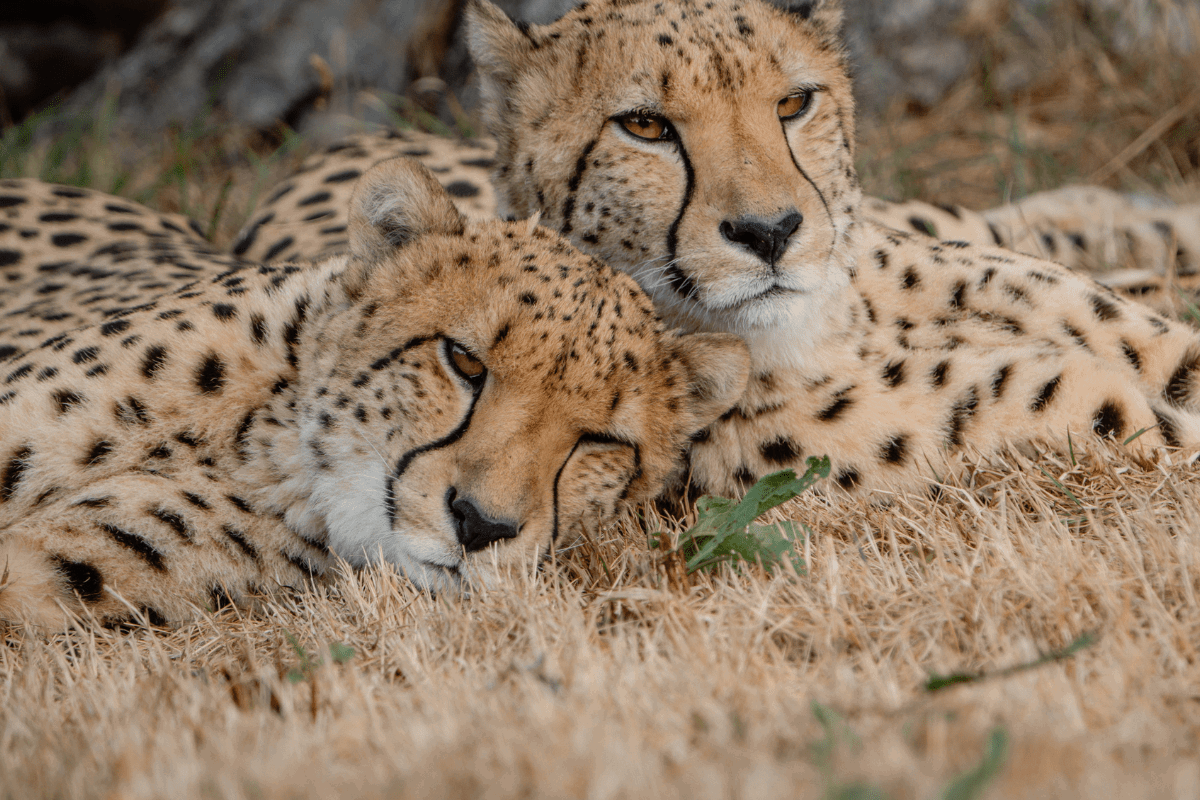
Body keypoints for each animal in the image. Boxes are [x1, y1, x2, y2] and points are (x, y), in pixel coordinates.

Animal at [239, 0, 1200, 501]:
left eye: (795, 103)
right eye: (645, 126)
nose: (770, 233)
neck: (827, 330)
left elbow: (1163, 353)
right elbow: (1145, 422)